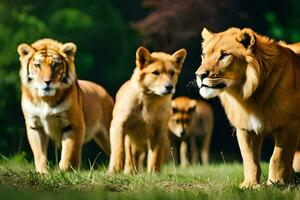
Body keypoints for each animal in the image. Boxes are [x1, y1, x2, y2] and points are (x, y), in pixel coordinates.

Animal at [17, 38, 113, 173]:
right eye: (37, 65)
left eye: (55, 65)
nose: (47, 82)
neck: (45, 99)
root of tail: (104, 91)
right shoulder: (34, 125)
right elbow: (39, 153)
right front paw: (42, 173)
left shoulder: (73, 124)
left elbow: (69, 151)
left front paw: (64, 172)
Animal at [196, 27, 298, 187]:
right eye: (204, 55)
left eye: (225, 55)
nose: (199, 75)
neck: (248, 97)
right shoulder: (245, 127)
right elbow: (250, 159)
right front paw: (250, 185)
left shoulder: (289, 125)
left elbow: (278, 157)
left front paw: (275, 183)